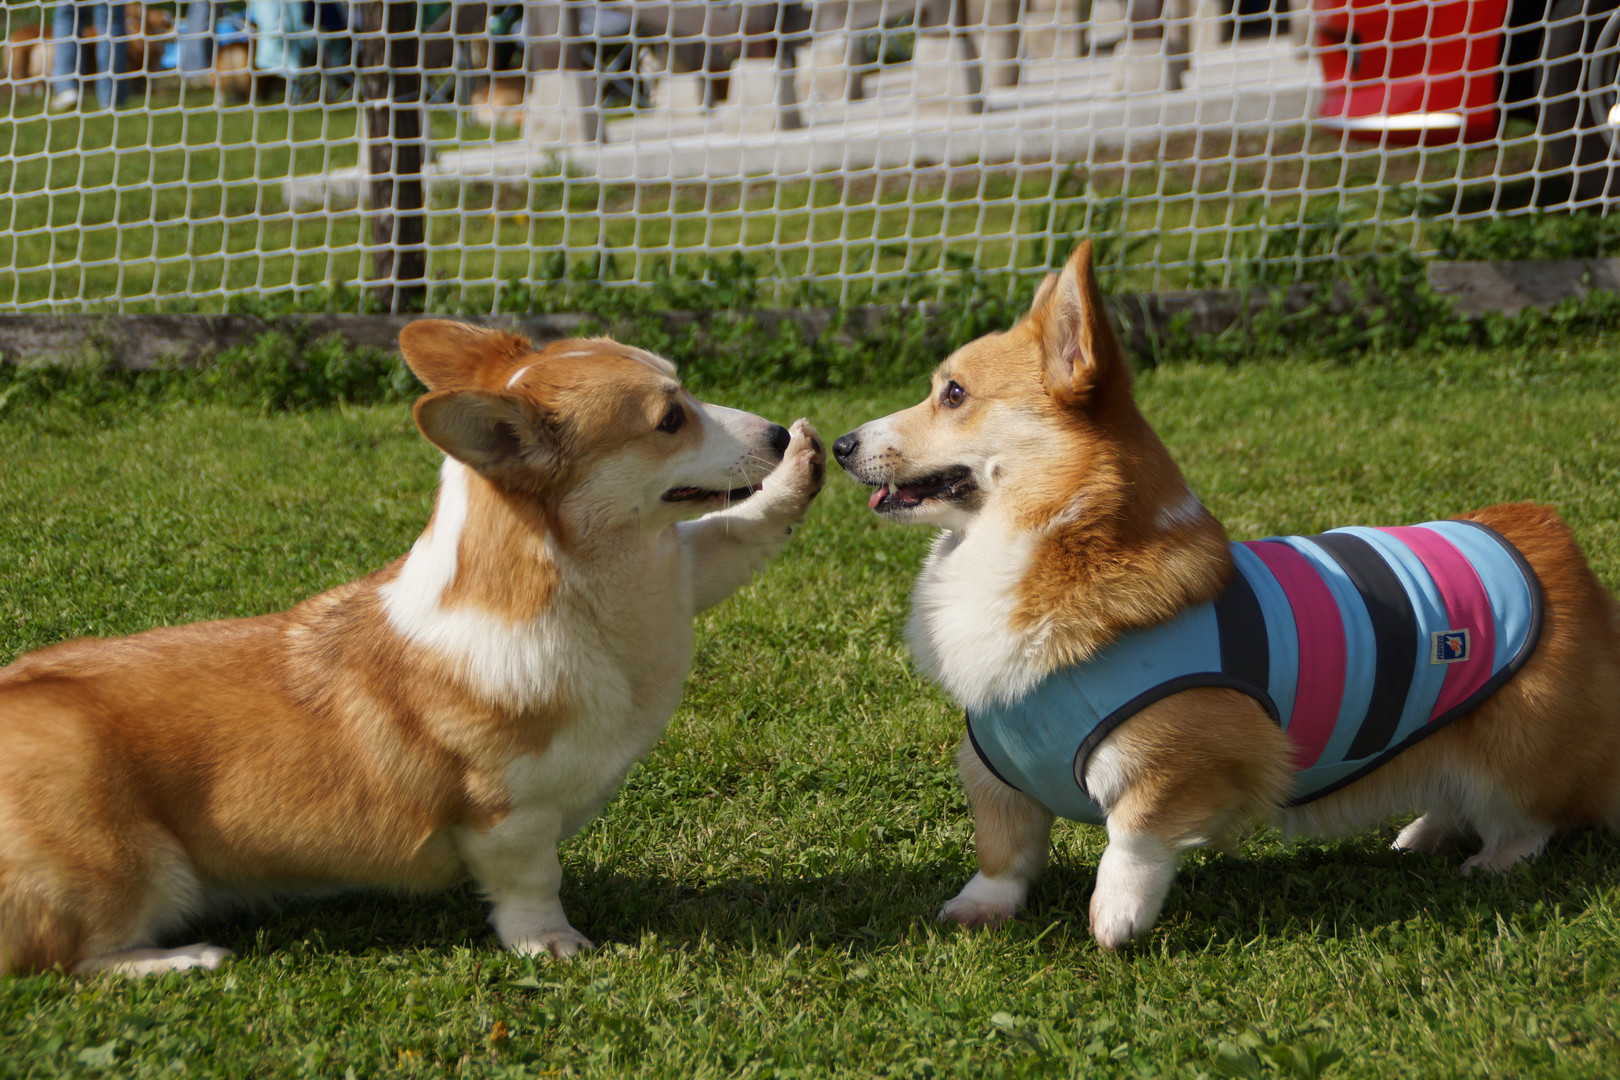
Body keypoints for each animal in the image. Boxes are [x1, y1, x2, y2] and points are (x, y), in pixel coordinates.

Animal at [0, 321, 825, 976]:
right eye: (669, 418)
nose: (780, 436)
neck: (586, 588)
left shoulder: (684, 572)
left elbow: (734, 532)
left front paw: (794, 479)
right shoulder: (506, 814)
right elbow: (533, 885)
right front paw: (554, 946)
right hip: (131, 866)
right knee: (73, 958)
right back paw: (184, 960)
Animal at [832, 239, 1620, 949]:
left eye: (954, 394)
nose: (839, 444)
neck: (1051, 541)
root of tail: (1545, 535)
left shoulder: (1186, 761)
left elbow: (1133, 837)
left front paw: (1115, 918)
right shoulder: (995, 770)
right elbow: (1003, 854)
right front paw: (978, 909)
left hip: (1516, 748)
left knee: (1531, 816)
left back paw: (1493, 859)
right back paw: (1422, 833)